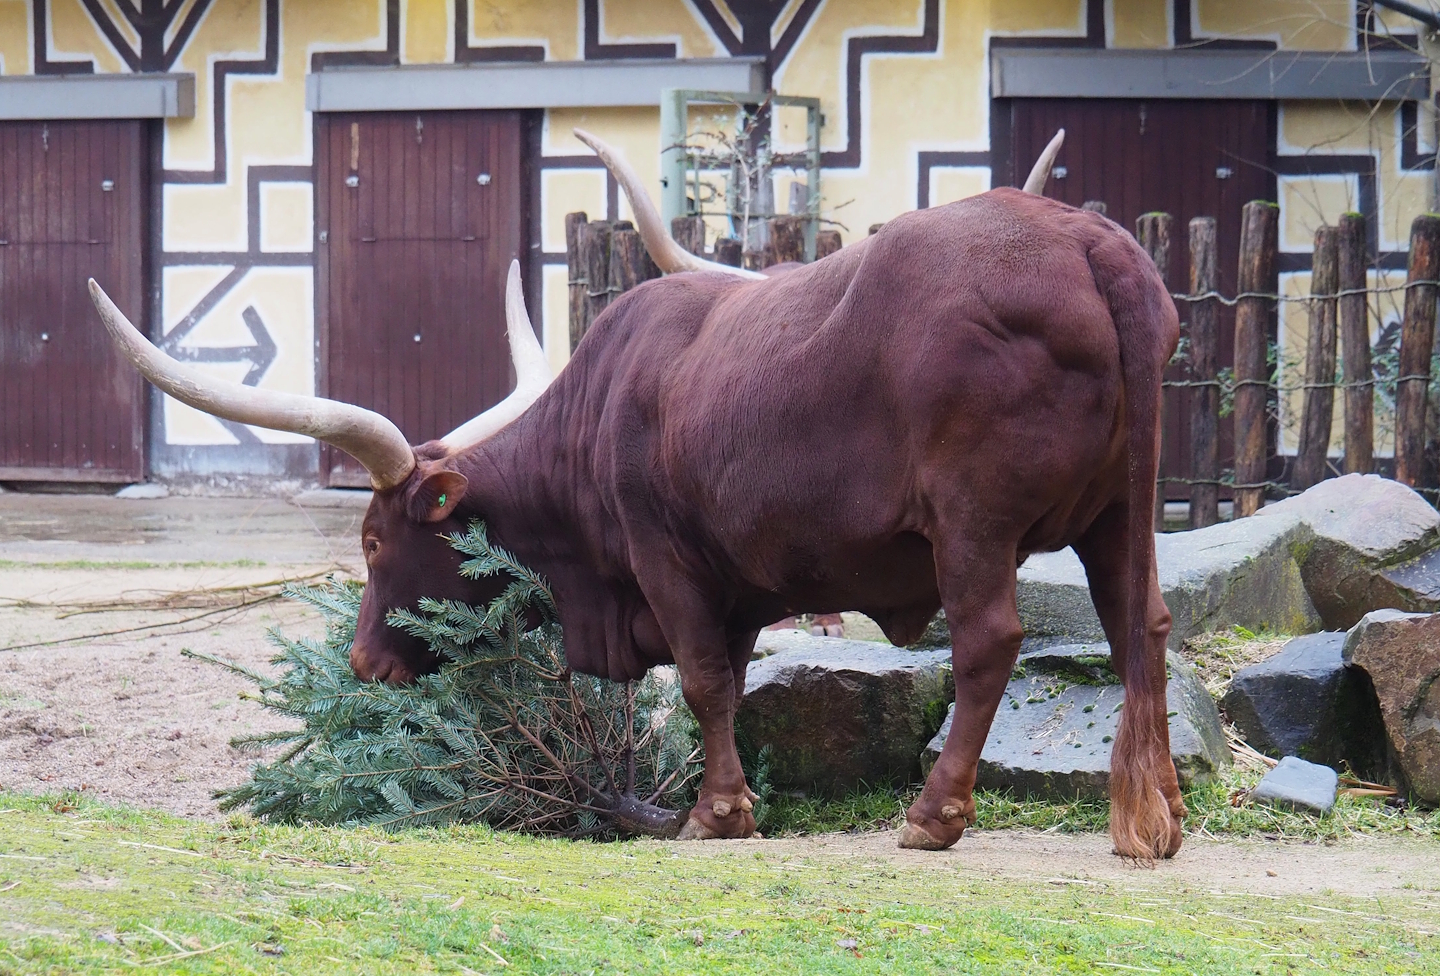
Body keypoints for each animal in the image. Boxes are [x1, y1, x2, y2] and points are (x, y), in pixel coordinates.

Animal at [86, 126, 1186, 859]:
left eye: (371, 540)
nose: (365, 663)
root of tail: (1092, 244)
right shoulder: (735, 588)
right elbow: (728, 680)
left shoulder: (668, 560)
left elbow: (700, 679)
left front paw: (715, 813)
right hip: (1119, 512)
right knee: (1142, 623)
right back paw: (1152, 815)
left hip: (973, 523)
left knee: (991, 640)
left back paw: (933, 814)